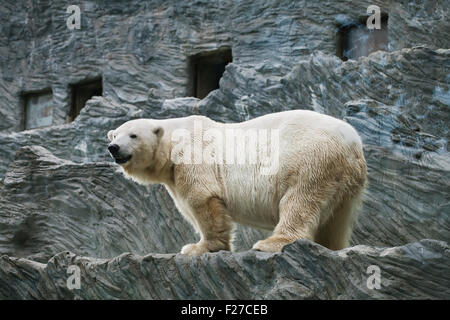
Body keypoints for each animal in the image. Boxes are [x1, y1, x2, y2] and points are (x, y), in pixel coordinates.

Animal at [107, 110, 368, 255]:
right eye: (115, 134)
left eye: (133, 135)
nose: (113, 147)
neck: (174, 141)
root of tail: (352, 141)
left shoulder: (193, 157)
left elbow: (202, 199)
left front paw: (198, 248)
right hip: (344, 179)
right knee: (336, 218)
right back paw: (331, 246)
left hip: (309, 157)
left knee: (299, 200)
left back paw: (271, 243)